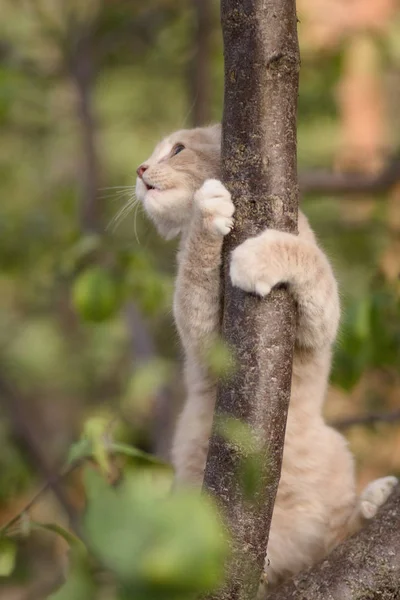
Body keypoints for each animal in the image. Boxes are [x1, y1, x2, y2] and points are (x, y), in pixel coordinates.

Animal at [135, 124, 396, 588]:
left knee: (335, 536)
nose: (141, 169)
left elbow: (305, 256)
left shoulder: (317, 324)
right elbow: (196, 269)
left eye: (177, 149)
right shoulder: (207, 341)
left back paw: (374, 500)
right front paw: (207, 214)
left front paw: (256, 256)